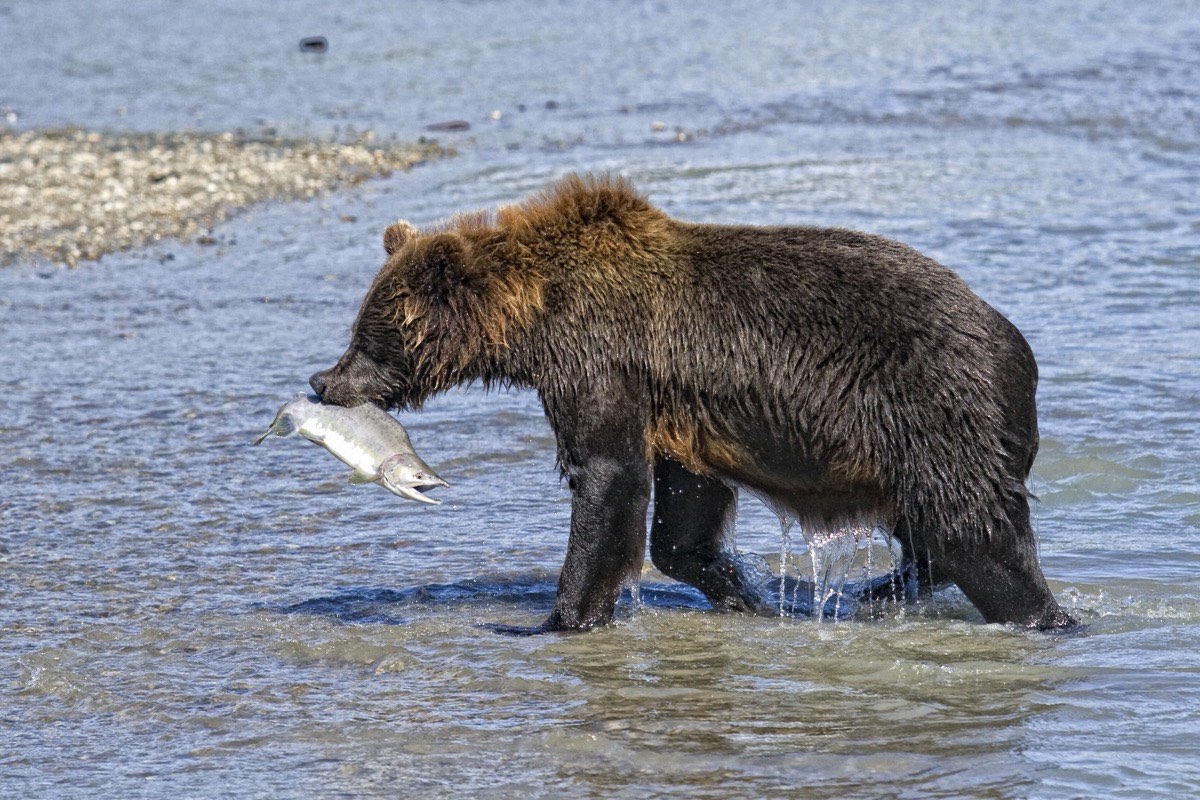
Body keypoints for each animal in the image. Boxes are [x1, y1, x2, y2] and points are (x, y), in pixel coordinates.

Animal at [309, 174, 1076, 633]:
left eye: (369, 336)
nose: (323, 382)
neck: (535, 322)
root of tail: (1019, 352)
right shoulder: (678, 408)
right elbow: (682, 517)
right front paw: (742, 591)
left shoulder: (602, 362)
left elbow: (606, 476)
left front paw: (555, 617)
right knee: (935, 532)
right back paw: (880, 590)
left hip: (933, 410)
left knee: (973, 530)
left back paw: (1045, 616)